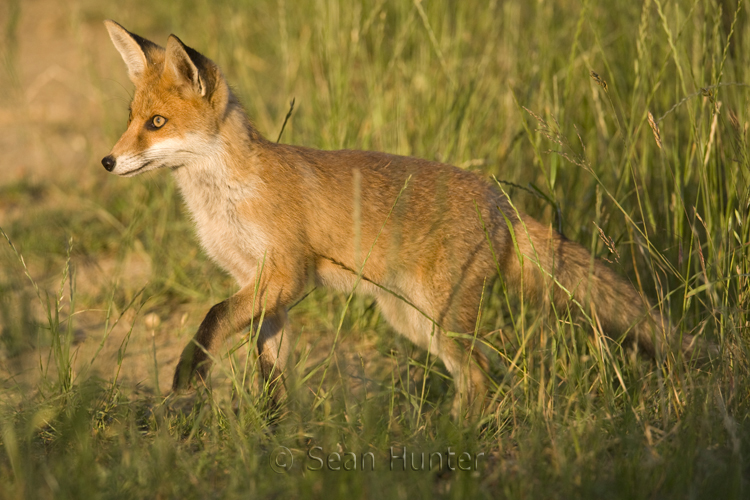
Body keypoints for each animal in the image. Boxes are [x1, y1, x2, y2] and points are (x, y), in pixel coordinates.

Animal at [100, 19, 700, 418]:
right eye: (130, 119)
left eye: (157, 123)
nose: (107, 161)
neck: (228, 196)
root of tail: (500, 200)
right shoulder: (266, 289)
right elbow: (269, 371)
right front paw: (275, 432)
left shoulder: (286, 274)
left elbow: (212, 317)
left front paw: (189, 372)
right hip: (412, 320)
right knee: (477, 378)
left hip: (440, 319)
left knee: (482, 378)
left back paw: (451, 443)